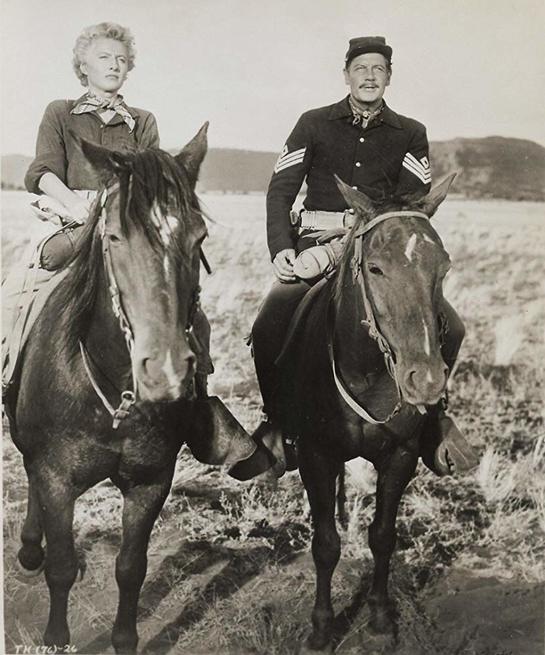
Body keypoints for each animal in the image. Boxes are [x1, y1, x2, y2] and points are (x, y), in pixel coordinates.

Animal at [5, 125, 215, 652]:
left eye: (199, 237)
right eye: (115, 237)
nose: (165, 371)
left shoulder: (150, 482)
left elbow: (131, 569)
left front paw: (124, 639)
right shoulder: (57, 479)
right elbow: (61, 567)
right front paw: (56, 638)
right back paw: (29, 549)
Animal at [278, 173, 462, 652]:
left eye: (443, 267)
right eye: (376, 268)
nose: (426, 380)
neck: (365, 373)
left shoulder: (401, 456)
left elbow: (382, 537)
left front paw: (380, 618)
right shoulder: (317, 457)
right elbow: (325, 544)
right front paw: (322, 628)